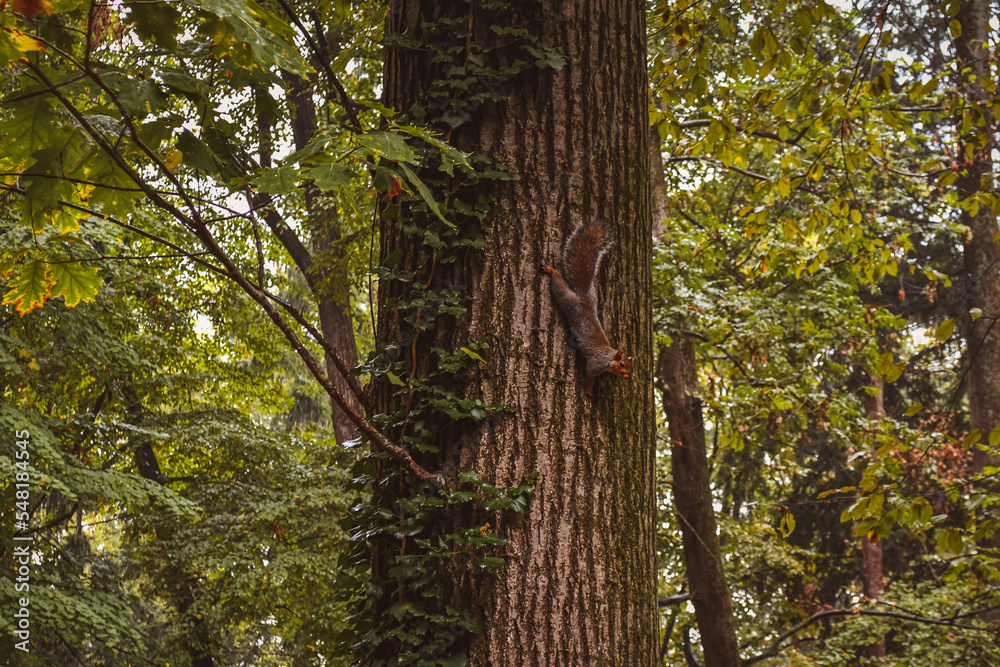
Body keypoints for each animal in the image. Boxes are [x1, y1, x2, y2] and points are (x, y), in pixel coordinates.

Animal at [542, 222, 631, 395]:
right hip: (568, 301)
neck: (608, 359)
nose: (627, 377)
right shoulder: (595, 365)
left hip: (592, 296)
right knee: (559, 287)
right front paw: (589, 390)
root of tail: (583, 295)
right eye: (622, 364)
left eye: (630, 367)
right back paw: (552, 271)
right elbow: (590, 376)